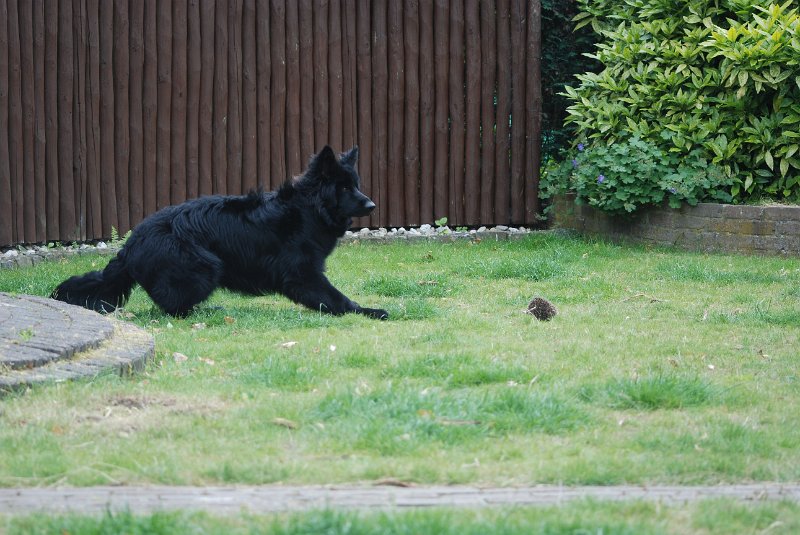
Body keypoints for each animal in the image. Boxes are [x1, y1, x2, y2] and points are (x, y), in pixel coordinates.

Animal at [51, 146, 390, 318]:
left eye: (356, 184)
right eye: (343, 188)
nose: (372, 204)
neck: (308, 208)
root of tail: (131, 243)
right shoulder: (302, 274)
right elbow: (336, 299)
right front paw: (368, 311)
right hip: (204, 266)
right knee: (170, 307)